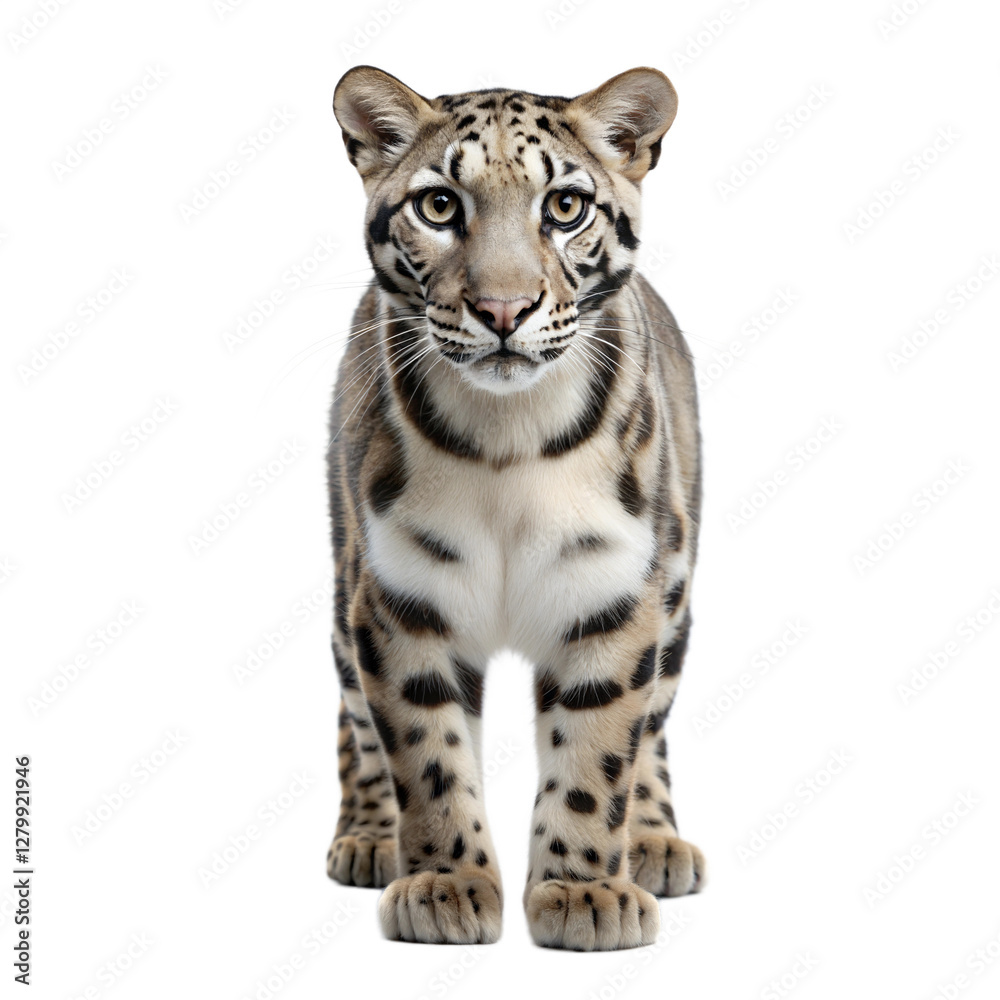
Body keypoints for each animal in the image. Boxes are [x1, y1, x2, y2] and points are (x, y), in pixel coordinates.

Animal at [324, 64, 706, 951]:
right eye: (439, 205)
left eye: (564, 206)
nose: (503, 311)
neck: (508, 440)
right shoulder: (397, 598)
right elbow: (425, 752)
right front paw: (446, 882)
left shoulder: (615, 593)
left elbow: (599, 753)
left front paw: (583, 891)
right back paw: (367, 840)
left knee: (656, 726)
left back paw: (655, 844)